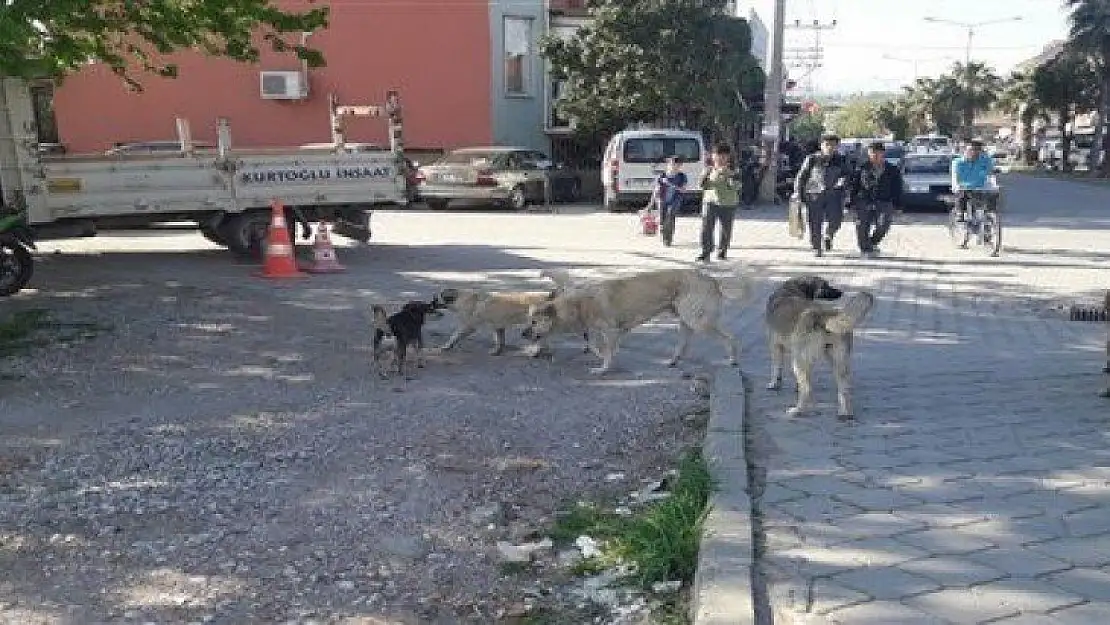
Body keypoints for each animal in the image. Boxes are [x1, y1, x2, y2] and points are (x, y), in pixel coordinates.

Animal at [521, 266, 754, 375]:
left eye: (534, 322)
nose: (523, 334)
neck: (579, 303)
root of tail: (712, 279)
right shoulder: (604, 332)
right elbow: (597, 346)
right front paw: (599, 356)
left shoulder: (611, 331)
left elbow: (606, 352)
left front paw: (603, 369)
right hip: (685, 321)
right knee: (684, 344)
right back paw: (673, 360)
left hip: (698, 321)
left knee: (729, 338)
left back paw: (732, 360)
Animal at [763, 275, 874, 417]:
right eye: (825, 285)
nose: (841, 292)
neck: (790, 290)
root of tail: (824, 316)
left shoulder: (775, 346)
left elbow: (776, 369)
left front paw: (774, 384)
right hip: (839, 362)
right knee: (844, 388)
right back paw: (844, 413)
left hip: (798, 362)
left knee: (807, 390)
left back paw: (797, 410)